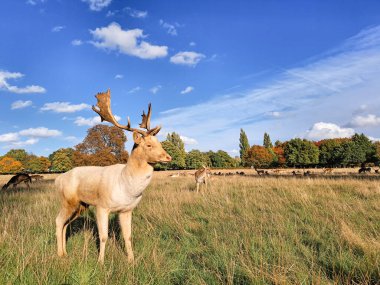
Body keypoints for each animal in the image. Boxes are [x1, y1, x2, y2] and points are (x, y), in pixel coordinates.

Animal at [54, 89, 171, 264]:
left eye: (160, 143)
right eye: (149, 145)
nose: (168, 157)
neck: (126, 187)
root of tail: (58, 179)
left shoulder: (127, 210)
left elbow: (128, 236)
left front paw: (131, 261)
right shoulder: (102, 206)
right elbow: (103, 237)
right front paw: (100, 262)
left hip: (80, 205)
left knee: (65, 224)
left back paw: (65, 252)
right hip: (68, 200)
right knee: (58, 221)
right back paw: (60, 254)